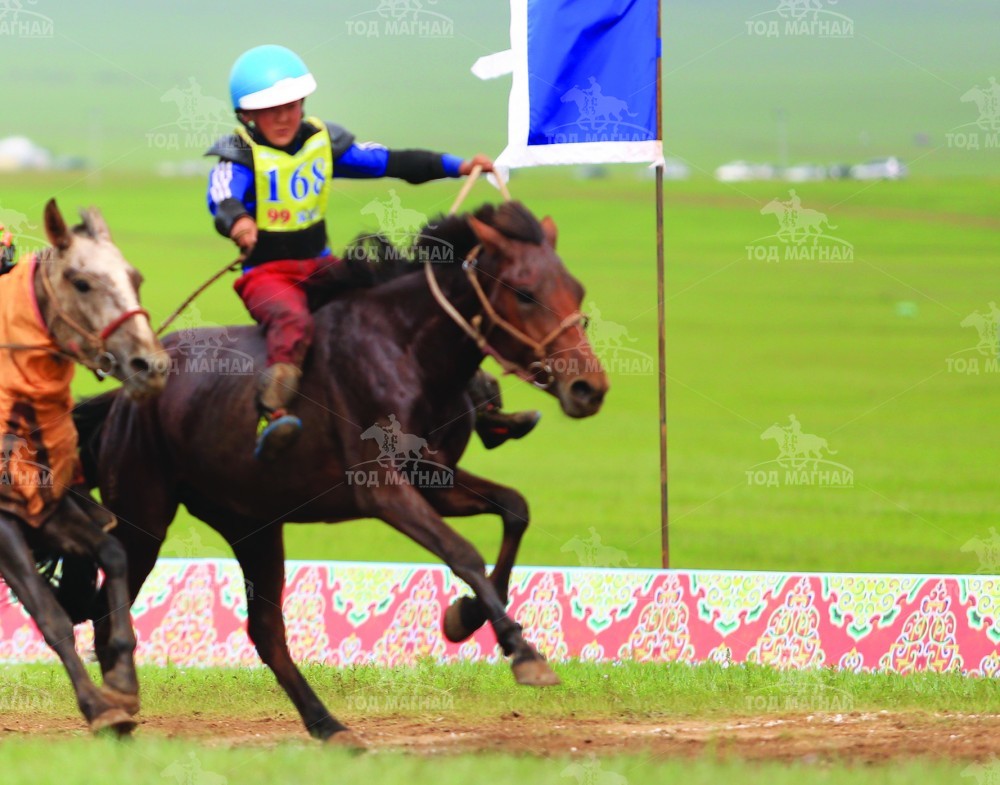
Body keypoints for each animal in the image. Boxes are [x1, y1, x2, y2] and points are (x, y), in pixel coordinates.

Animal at [0, 200, 167, 734]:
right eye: (81, 282)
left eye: (135, 277)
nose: (148, 365)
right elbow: (48, 613)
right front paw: (98, 707)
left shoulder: (48, 508)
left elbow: (112, 553)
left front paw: (123, 684)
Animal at [75, 201, 608, 745]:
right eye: (525, 292)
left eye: (577, 289)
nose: (589, 388)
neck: (405, 350)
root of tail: (124, 394)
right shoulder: (381, 489)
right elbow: (463, 552)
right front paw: (522, 651)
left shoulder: (432, 477)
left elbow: (515, 510)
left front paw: (466, 615)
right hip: (144, 516)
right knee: (108, 609)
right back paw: (116, 708)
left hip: (252, 523)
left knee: (265, 630)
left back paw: (327, 723)